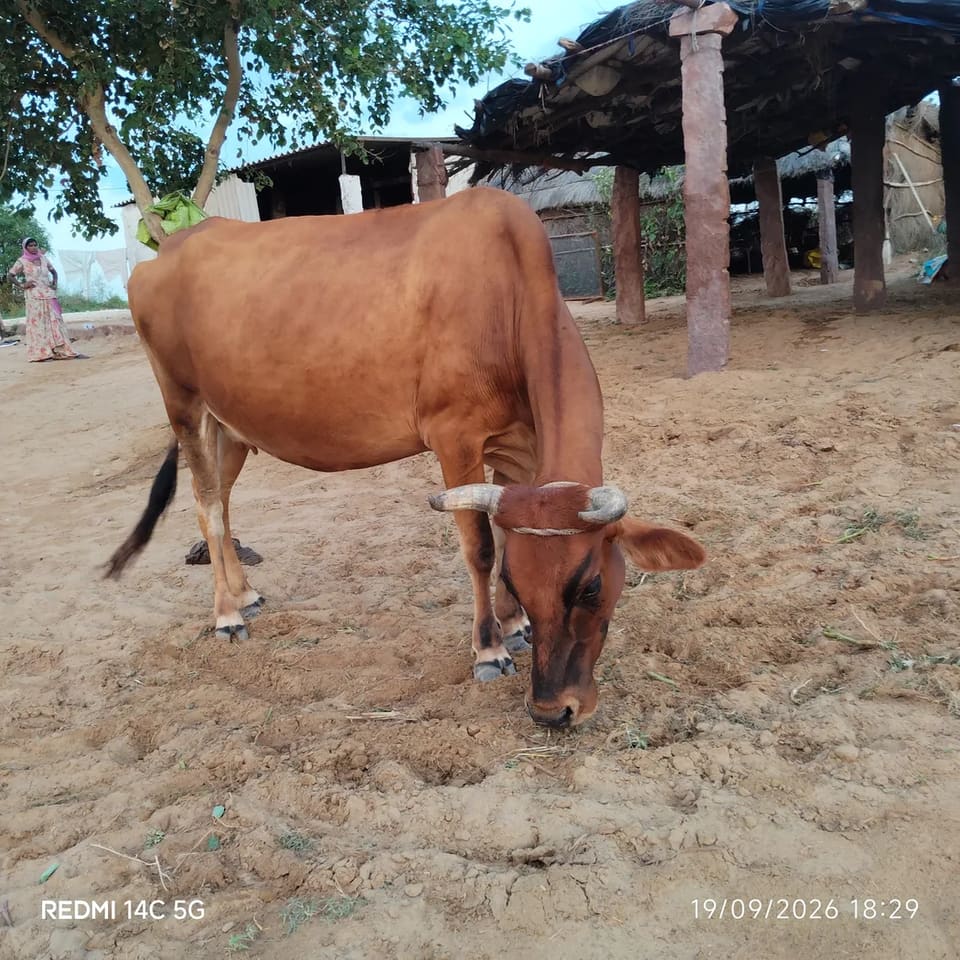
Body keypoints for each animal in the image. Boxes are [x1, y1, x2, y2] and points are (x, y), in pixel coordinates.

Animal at [107, 187, 705, 728]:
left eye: (592, 586)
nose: (552, 711)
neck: (506, 295)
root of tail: (168, 250)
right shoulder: (455, 435)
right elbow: (479, 547)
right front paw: (489, 649)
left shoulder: (517, 446)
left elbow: (504, 531)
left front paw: (513, 627)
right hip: (183, 403)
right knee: (207, 505)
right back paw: (227, 616)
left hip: (231, 423)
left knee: (220, 501)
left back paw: (246, 593)